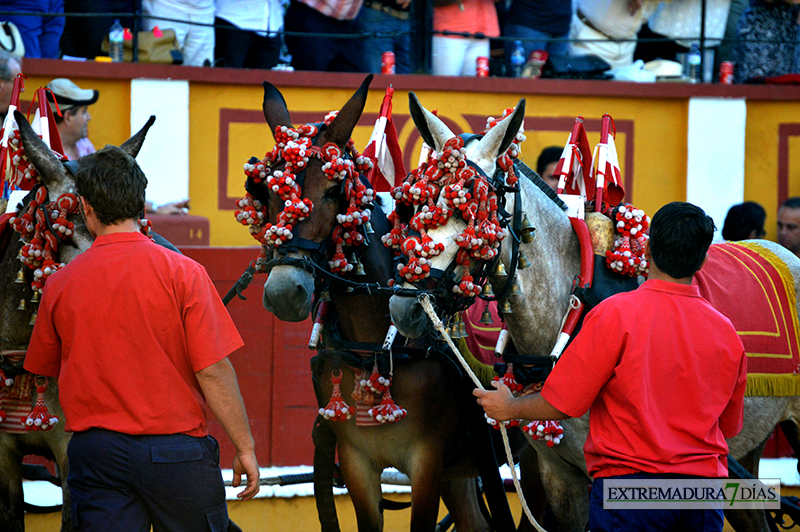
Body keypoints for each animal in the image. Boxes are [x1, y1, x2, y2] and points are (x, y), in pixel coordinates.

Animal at [244, 76, 532, 532]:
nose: (284, 291)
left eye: (333, 191)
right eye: (268, 192)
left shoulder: (427, 462)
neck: (373, 348)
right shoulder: (358, 461)